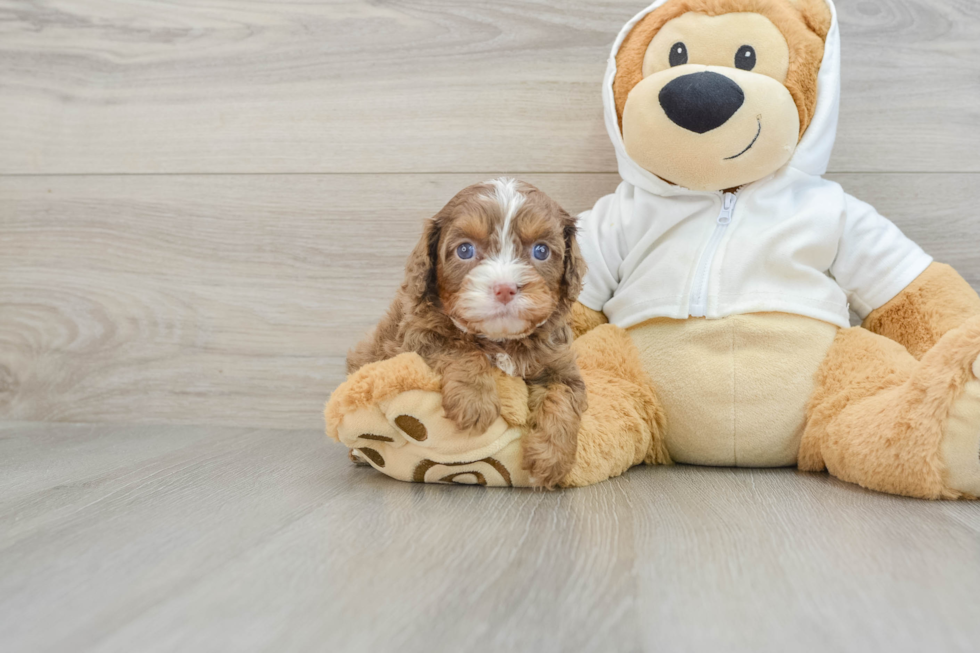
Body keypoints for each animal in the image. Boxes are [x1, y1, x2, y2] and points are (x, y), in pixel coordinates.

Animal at [348, 177, 584, 484]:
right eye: (465, 250)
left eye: (541, 251)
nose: (504, 288)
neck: (500, 339)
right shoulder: (416, 337)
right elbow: (459, 348)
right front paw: (475, 402)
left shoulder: (560, 363)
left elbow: (563, 397)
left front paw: (551, 459)